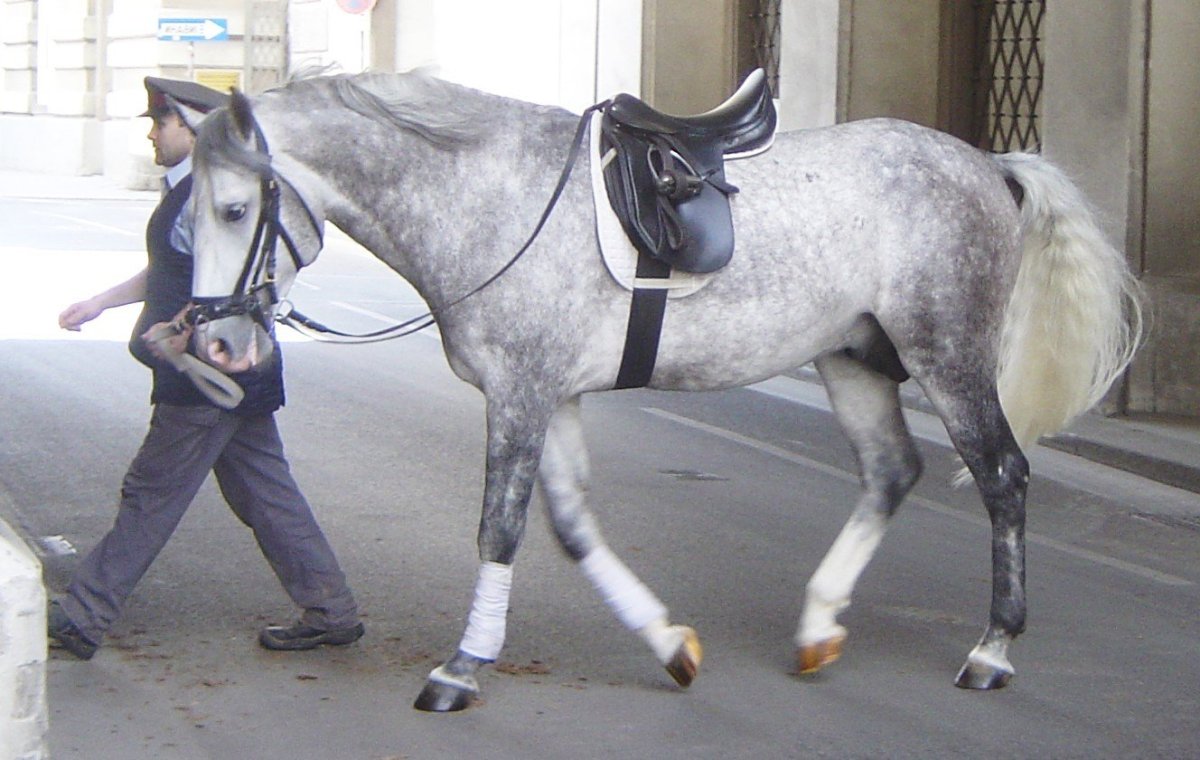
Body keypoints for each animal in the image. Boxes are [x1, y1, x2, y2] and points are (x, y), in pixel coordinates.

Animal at [180, 71, 1142, 712]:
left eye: (233, 210)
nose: (217, 341)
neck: (488, 195)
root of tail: (988, 163)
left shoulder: (520, 392)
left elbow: (500, 527)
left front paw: (462, 666)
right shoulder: (552, 396)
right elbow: (572, 529)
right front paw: (670, 644)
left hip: (947, 357)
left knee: (1003, 477)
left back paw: (993, 648)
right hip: (853, 359)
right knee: (890, 472)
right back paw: (817, 625)